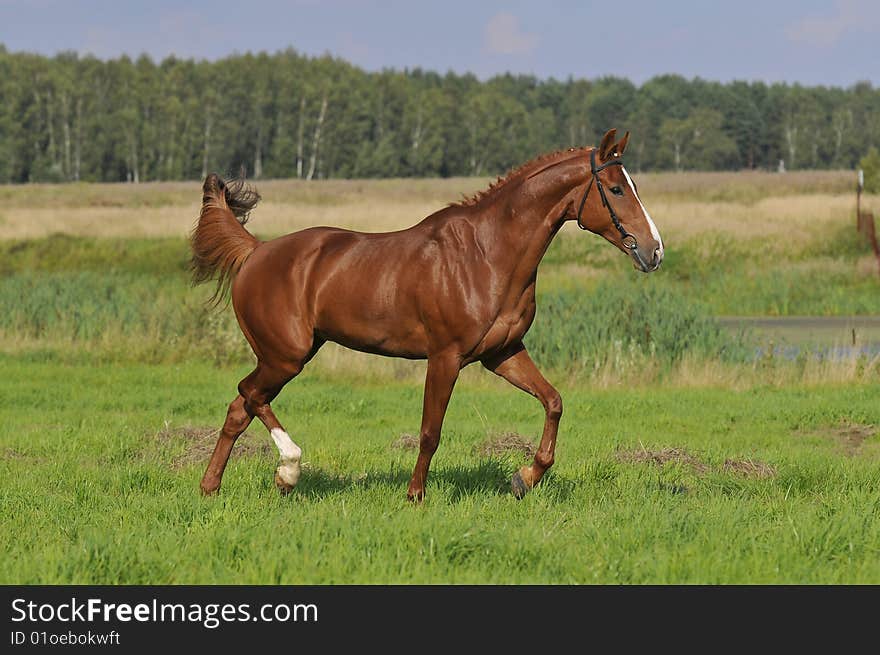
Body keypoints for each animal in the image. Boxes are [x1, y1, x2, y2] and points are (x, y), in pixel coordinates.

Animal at [191, 131, 660, 504]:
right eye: (616, 189)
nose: (654, 251)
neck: (488, 255)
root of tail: (256, 251)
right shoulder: (445, 357)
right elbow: (430, 431)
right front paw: (415, 495)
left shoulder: (503, 353)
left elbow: (554, 401)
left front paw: (525, 479)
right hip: (285, 356)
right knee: (249, 395)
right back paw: (288, 470)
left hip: (288, 356)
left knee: (240, 407)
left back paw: (213, 486)